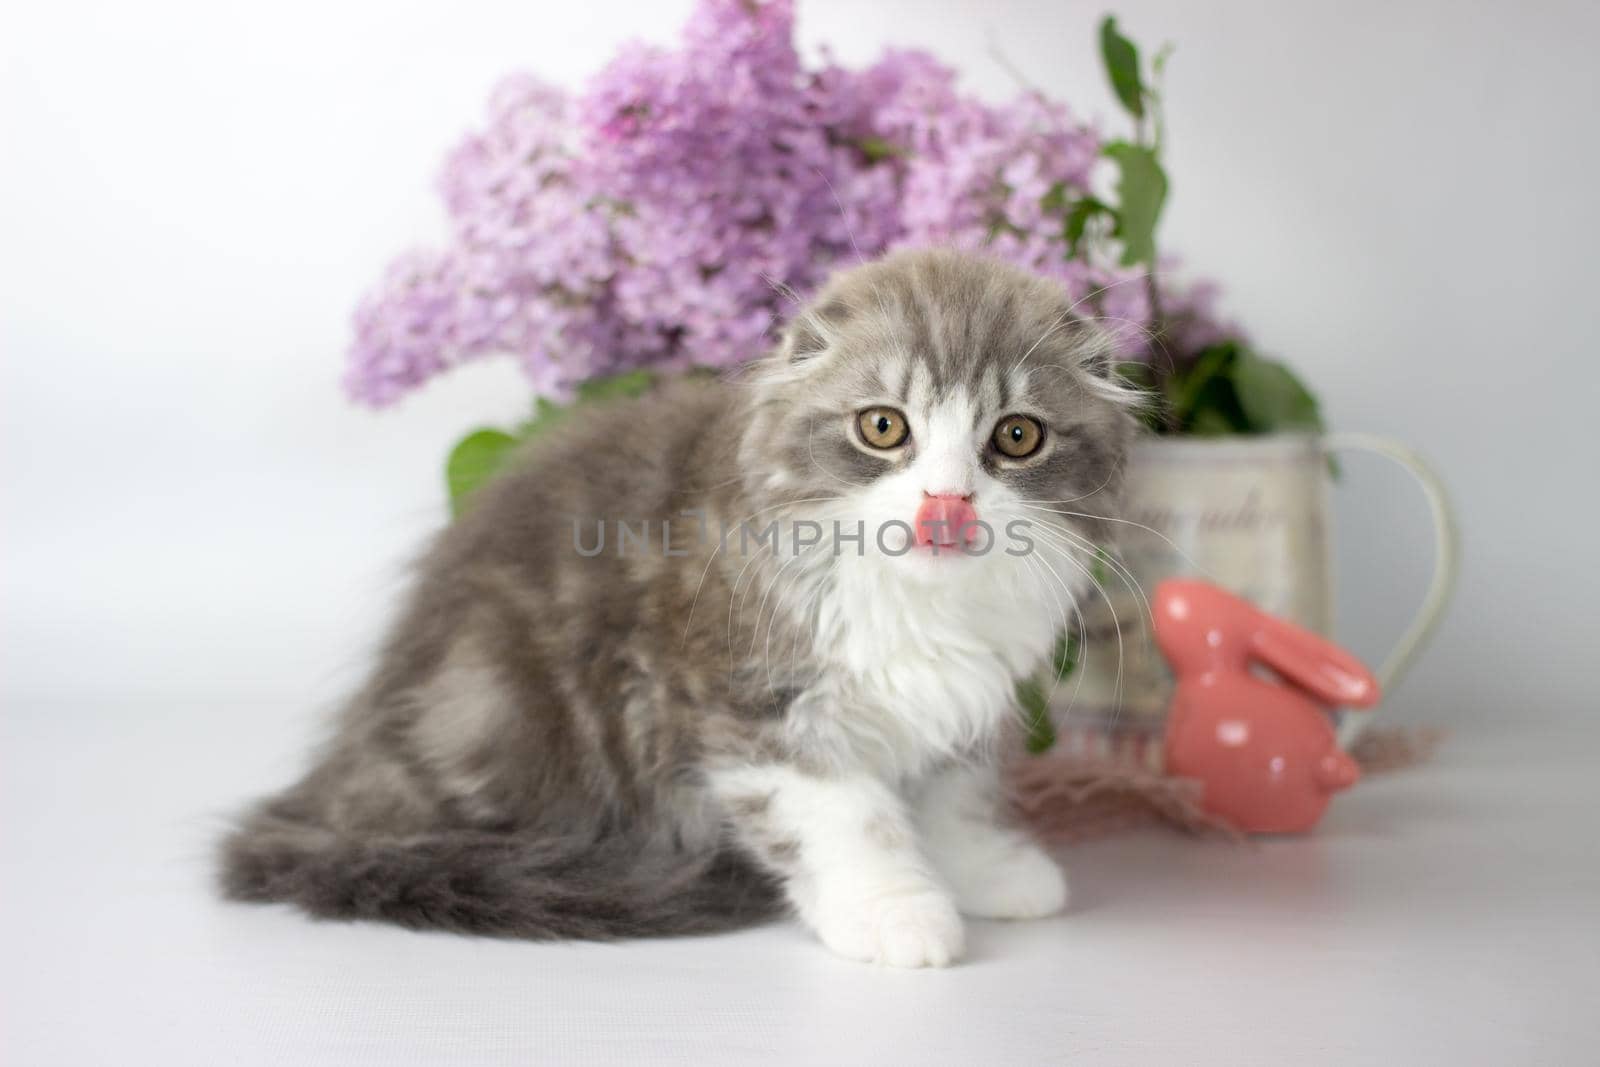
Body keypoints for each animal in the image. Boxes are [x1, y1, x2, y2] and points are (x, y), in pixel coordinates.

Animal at [222, 247, 1139, 966]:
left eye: (1016, 436)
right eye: (883, 427)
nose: (947, 503)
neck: (916, 602)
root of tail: (336, 781)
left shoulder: (957, 706)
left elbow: (953, 795)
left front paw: (987, 869)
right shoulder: (747, 704)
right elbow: (845, 816)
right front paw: (897, 910)